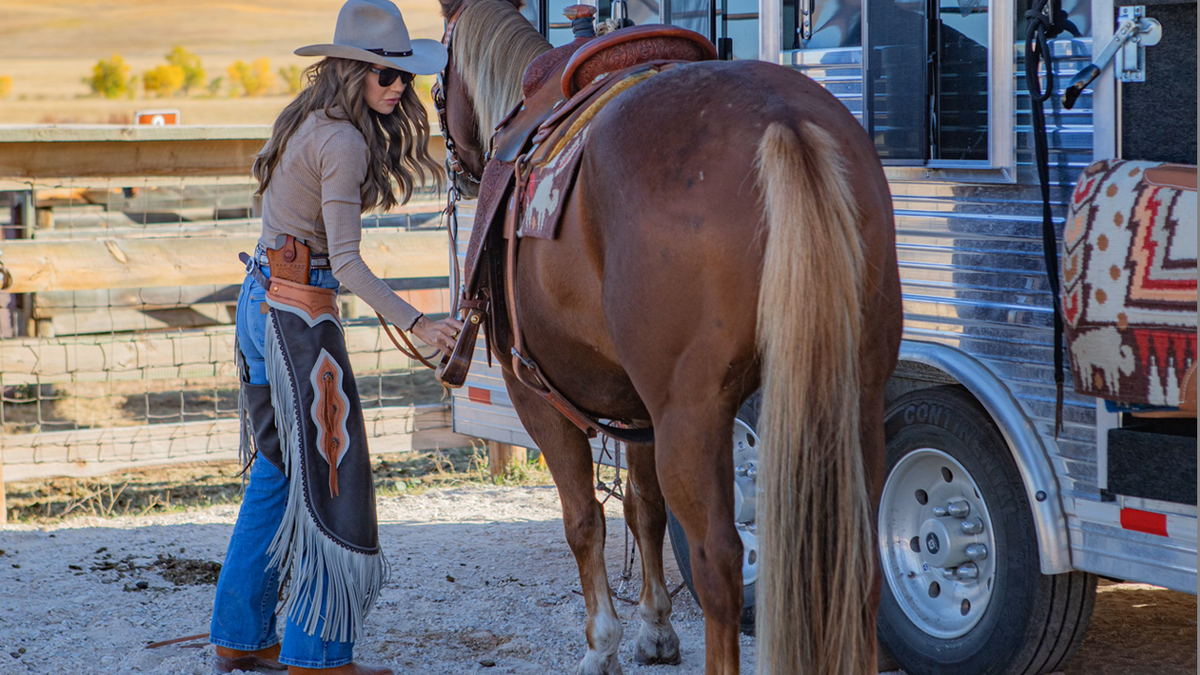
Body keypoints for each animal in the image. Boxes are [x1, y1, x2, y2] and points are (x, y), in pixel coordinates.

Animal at [436, 2, 902, 667]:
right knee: (855, 559)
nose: (451, 165)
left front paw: (602, 644)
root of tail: (785, 124)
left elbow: (585, 520)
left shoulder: (536, 393)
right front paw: (655, 627)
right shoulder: (638, 407)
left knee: (719, 565)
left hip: (695, 416)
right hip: (856, 394)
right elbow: (644, 508)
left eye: (438, 73)